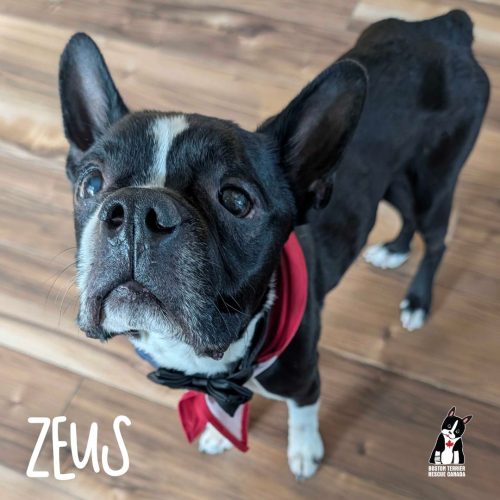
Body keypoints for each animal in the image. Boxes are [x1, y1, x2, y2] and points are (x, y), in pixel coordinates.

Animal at [58, 10, 488, 479]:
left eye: (236, 200)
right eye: (91, 184)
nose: (138, 209)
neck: (212, 360)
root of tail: (446, 26)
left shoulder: (304, 379)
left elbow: (302, 414)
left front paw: (304, 452)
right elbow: (220, 408)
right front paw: (218, 431)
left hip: (434, 179)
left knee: (436, 240)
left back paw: (417, 301)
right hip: (394, 181)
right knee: (405, 213)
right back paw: (394, 249)